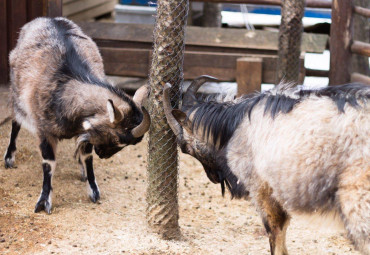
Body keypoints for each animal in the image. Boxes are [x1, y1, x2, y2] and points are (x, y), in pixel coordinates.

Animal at [2, 16, 150, 214]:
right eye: (119, 139)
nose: (103, 155)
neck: (67, 85)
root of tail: (46, 18)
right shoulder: (44, 130)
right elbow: (49, 162)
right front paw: (44, 201)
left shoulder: (85, 131)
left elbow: (87, 157)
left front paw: (93, 189)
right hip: (16, 92)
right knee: (16, 122)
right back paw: (9, 157)